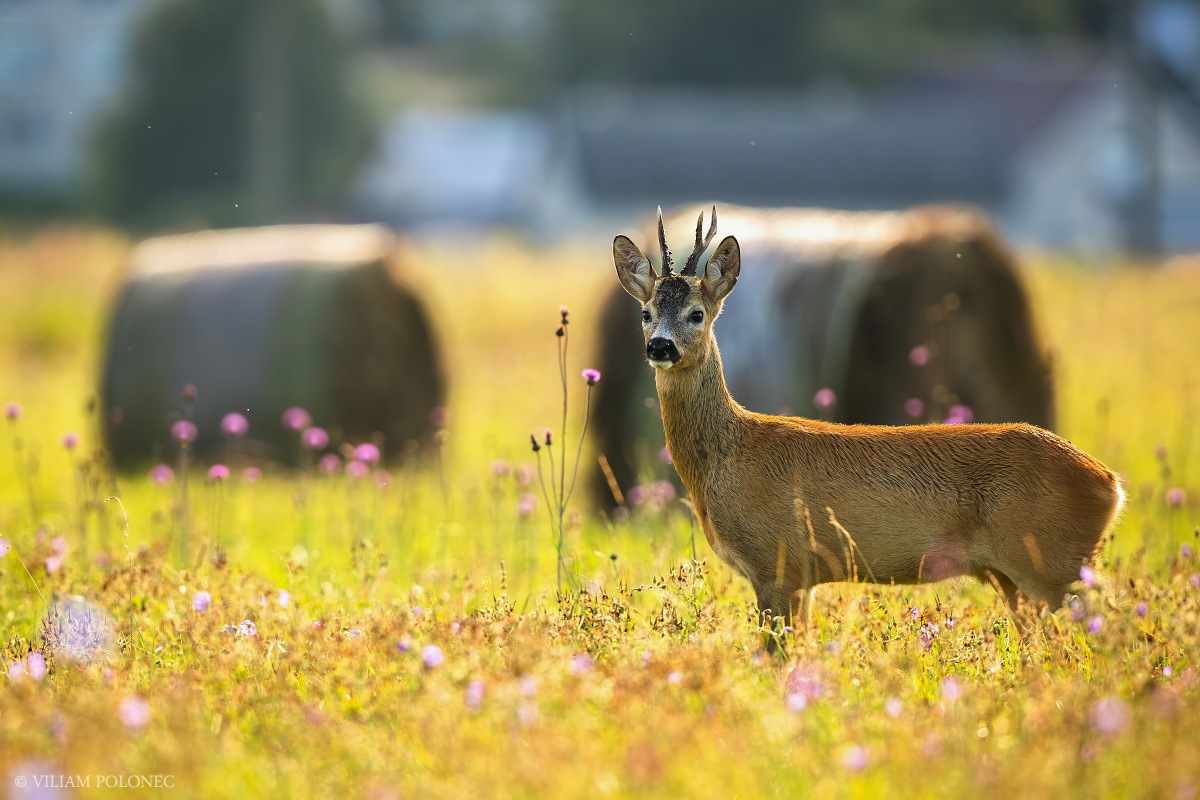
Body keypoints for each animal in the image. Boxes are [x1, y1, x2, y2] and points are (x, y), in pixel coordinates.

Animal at [609, 206, 1123, 638]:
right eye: (646, 312)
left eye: (697, 313)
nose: (660, 346)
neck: (728, 456)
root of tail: (1111, 484)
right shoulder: (802, 577)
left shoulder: (778, 563)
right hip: (1021, 578)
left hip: (1055, 566)